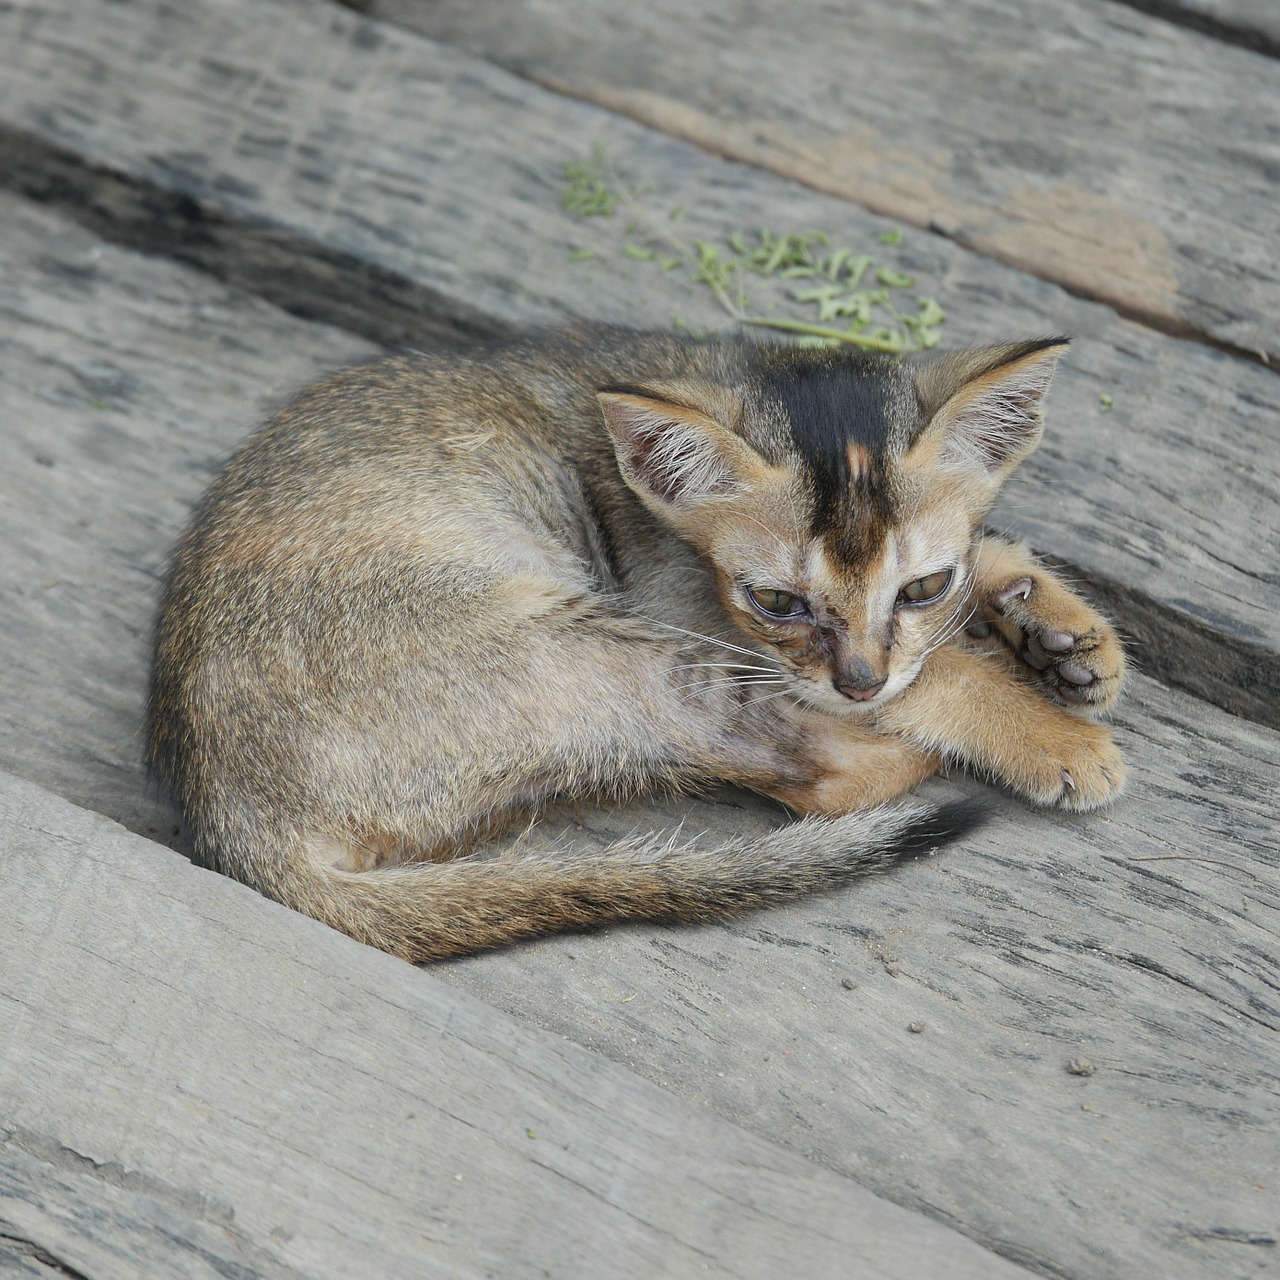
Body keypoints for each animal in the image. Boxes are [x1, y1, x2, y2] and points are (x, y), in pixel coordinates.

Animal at [147, 330, 1121, 962]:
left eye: (922, 586)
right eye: (776, 600)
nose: (858, 683)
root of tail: (233, 821)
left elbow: (964, 593)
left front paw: (1063, 633)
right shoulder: (705, 619)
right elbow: (935, 675)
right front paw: (1056, 737)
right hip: (596, 643)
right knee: (833, 775)